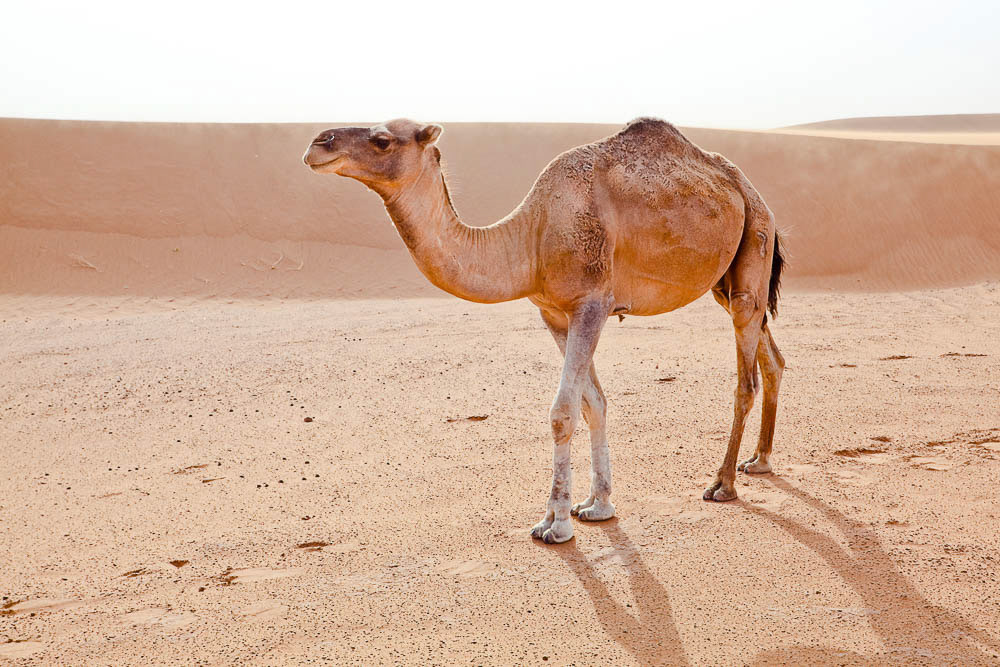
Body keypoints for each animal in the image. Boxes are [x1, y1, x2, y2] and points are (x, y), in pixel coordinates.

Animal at [303, 118, 786, 544]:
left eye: (382, 140)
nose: (317, 143)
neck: (531, 238)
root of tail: (754, 193)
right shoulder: (555, 313)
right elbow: (594, 404)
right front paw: (596, 505)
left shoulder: (592, 303)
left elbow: (562, 412)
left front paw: (555, 524)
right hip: (727, 279)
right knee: (772, 356)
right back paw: (759, 460)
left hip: (754, 242)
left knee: (745, 378)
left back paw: (723, 483)